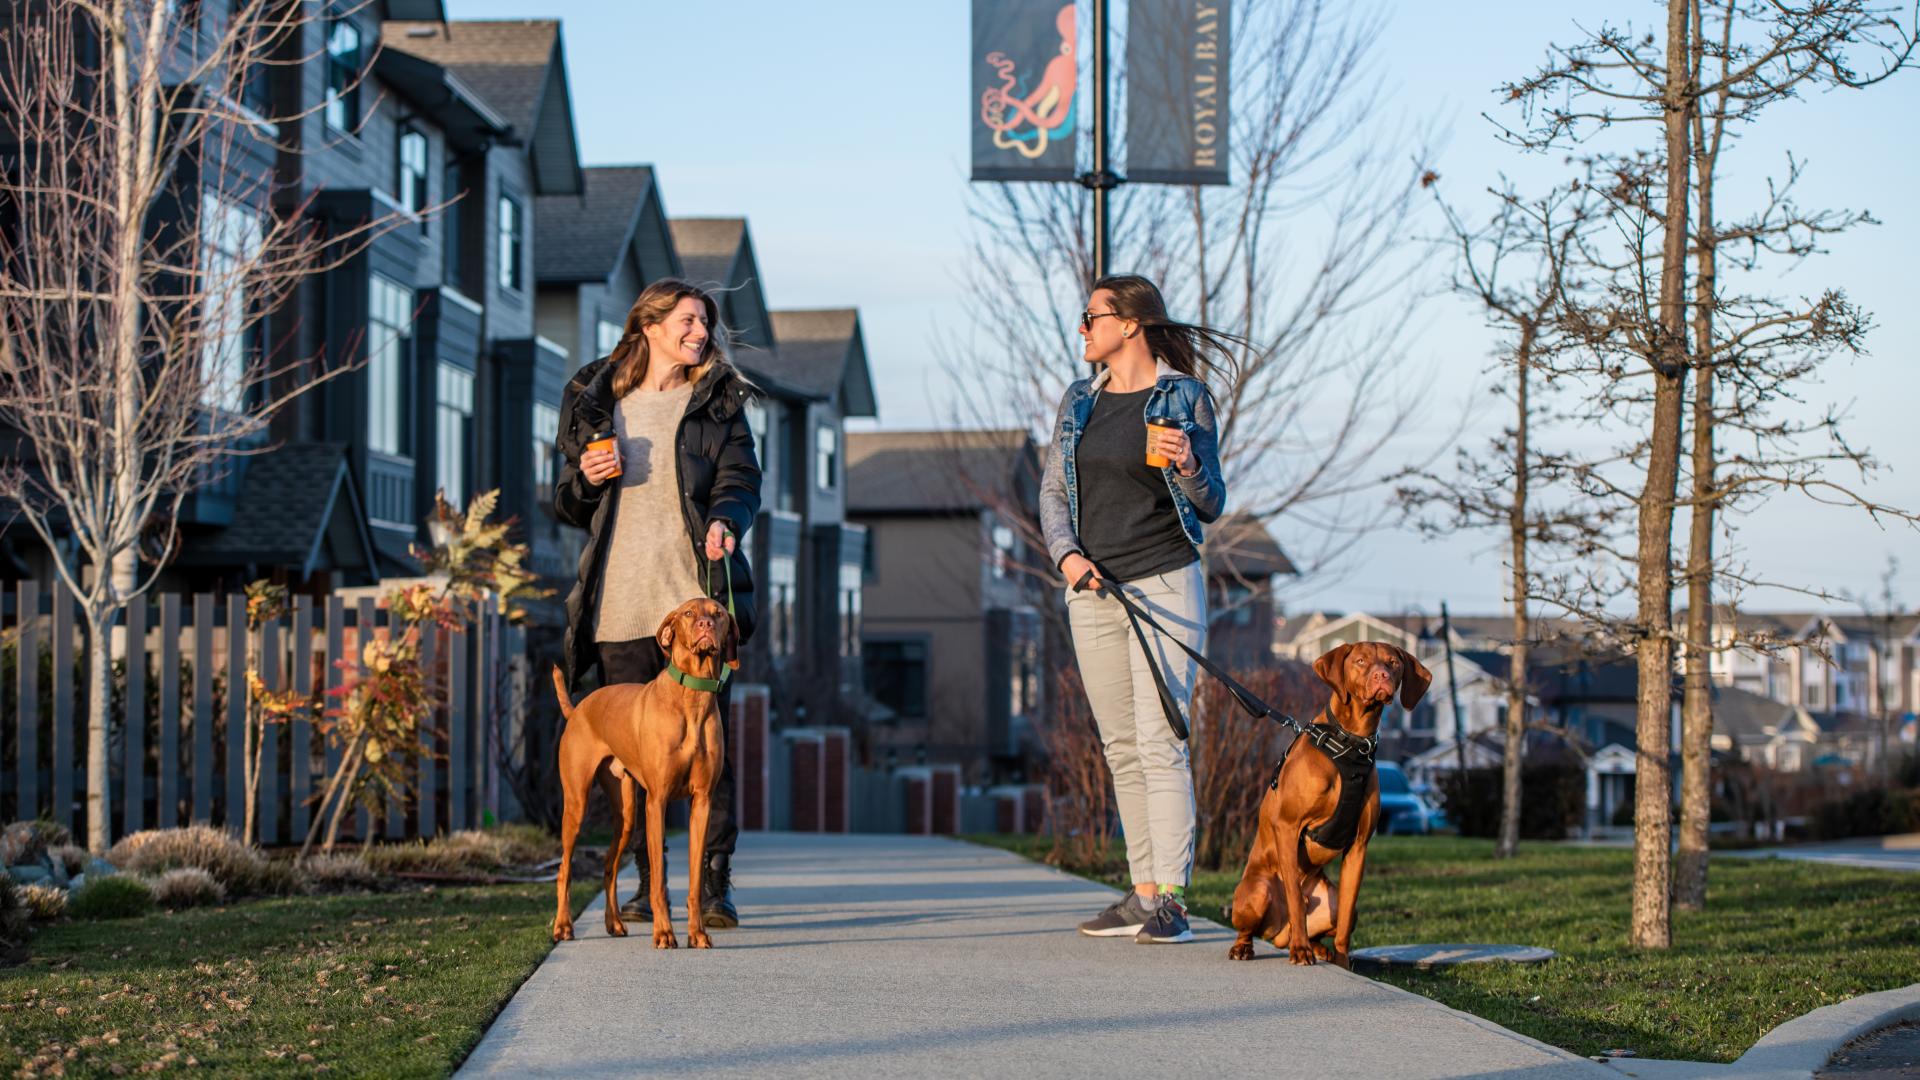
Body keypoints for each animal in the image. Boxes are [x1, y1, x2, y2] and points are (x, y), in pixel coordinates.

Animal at [556, 591, 741, 945]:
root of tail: (578, 709)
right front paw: (664, 933)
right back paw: (563, 926)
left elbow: (694, 879)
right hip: (576, 803)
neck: (692, 696)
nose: (705, 625)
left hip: (626, 813)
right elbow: (657, 880)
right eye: (688, 613)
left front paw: (697, 933)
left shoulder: (702, 803)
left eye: (719, 613)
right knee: (564, 869)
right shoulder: (657, 802)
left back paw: (614, 922)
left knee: (609, 866)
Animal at [1228, 638, 1428, 968]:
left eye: (1393, 663)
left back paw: (1320, 949)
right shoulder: (1288, 827)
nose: (1382, 677)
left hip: (1328, 896)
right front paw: (1300, 951)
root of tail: (1278, 934)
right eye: (1360, 661)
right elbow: (1296, 902)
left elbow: (1345, 917)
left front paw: (1343, 963)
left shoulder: (1358, 847)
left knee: (1325, 921)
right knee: (1252, 927)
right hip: (1255, 892)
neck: (1351, 745)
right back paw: (1249, 947)